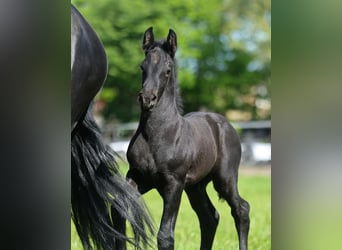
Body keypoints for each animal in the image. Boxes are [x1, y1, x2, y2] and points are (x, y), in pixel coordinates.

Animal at [120, 27, 248, 250]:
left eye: (168, 70)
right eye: (142, 67)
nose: (147, 99)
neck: (157, 135)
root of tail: (224, 123)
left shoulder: (174, 183)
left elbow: (165, 235)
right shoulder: (138, 177)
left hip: (225, 179)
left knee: (241, 209)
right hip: (196, 187)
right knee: (210, 217)